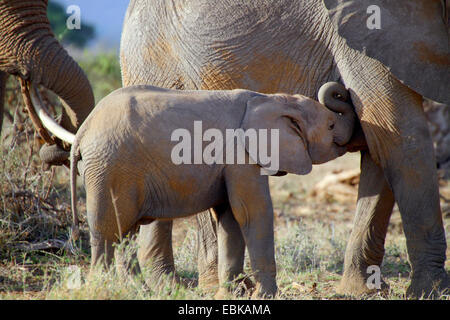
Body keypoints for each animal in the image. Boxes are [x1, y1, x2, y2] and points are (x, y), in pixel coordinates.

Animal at [119, 0, 450, 298]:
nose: (338, 89)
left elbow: (378, 149)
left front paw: (362, 291)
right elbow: (399, 137)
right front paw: (431, 292)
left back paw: (178, 286)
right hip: (157, 66)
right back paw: (207, 289)